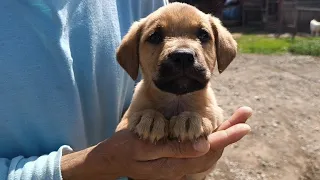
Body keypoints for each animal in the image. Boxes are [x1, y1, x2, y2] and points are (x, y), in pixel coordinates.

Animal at [116, 2, 236, 179]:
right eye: (154, 37)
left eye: (204, 35)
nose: (183, 56)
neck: (176, 98)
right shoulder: (123, 122)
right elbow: (132, 117)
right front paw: (150, 118)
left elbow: (210, 114)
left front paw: (192, 119)